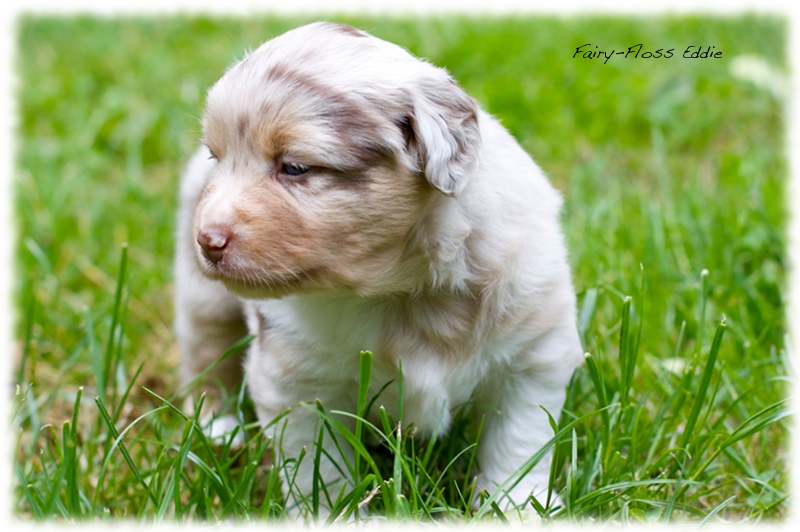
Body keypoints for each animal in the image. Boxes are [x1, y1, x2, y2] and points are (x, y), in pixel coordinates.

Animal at [175, 21, 584, 516]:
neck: (405, 289)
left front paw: (517, 506)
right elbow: (319, 464)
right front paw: (329, 514)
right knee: (206, 350)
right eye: (217, 157)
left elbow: (519, 442)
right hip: (203, 298)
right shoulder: (296, 380)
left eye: (295, 166)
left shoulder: (533, 353)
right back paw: (218, 426)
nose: (208, 240)